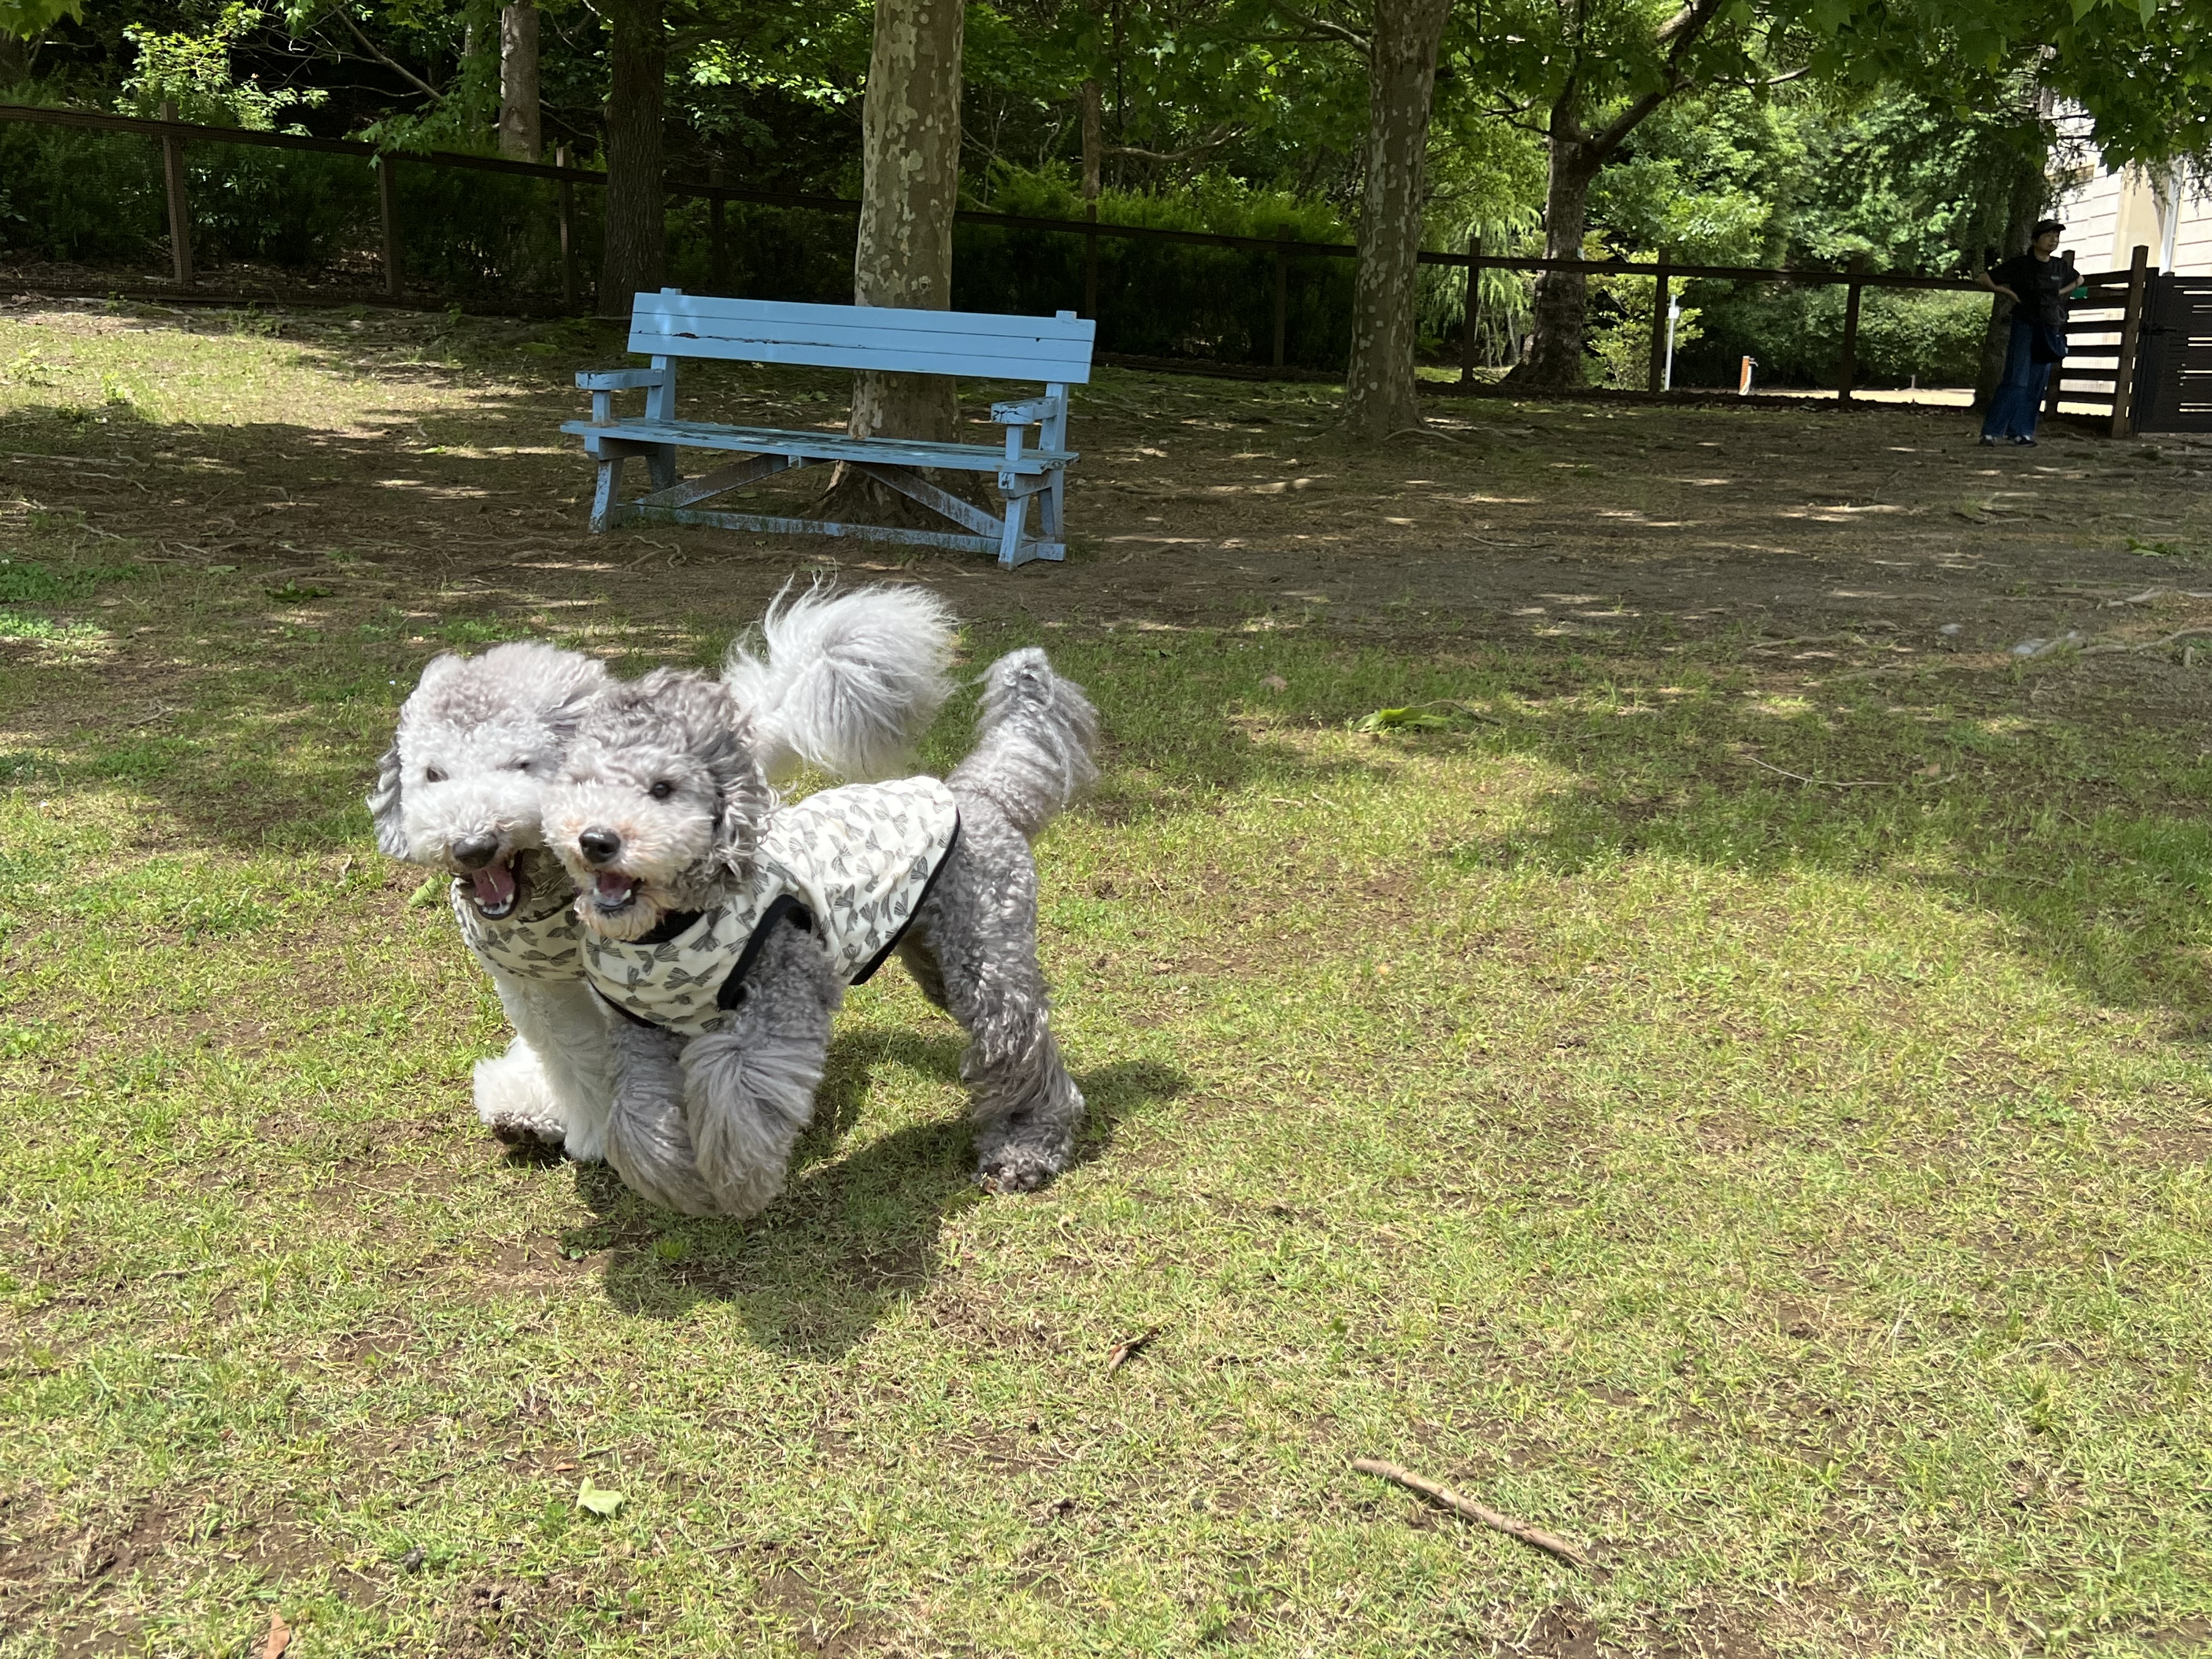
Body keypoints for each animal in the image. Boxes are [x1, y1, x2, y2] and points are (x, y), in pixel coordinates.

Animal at [371, 592, 960, 1159]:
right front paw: (591, 1126)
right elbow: (568, 1053)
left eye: (520, 765)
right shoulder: (532, 985)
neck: (547, 904)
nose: (473, 846)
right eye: (433, 774)